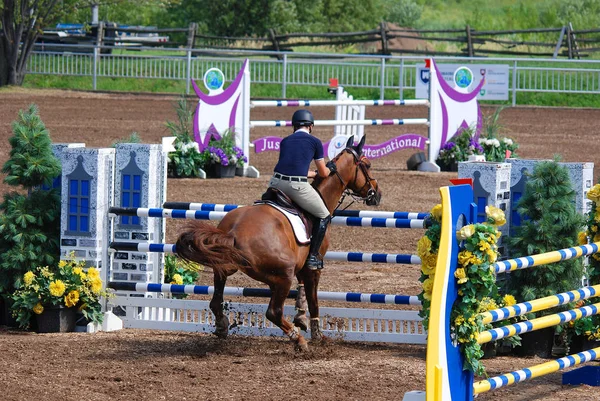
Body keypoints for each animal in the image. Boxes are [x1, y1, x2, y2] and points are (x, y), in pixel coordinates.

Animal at [175, 136, 380, 348]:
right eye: (367, 165)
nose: (376, 193)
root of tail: (233, 232)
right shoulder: (312, 267)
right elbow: (313, 299)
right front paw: (316, 333)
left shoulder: (299, 266)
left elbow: (302, 292)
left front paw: (300, 318)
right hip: (283, 275)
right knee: (273, 312)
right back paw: (298, 340)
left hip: (226, 266)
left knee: (216, 301)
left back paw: (222, 326)